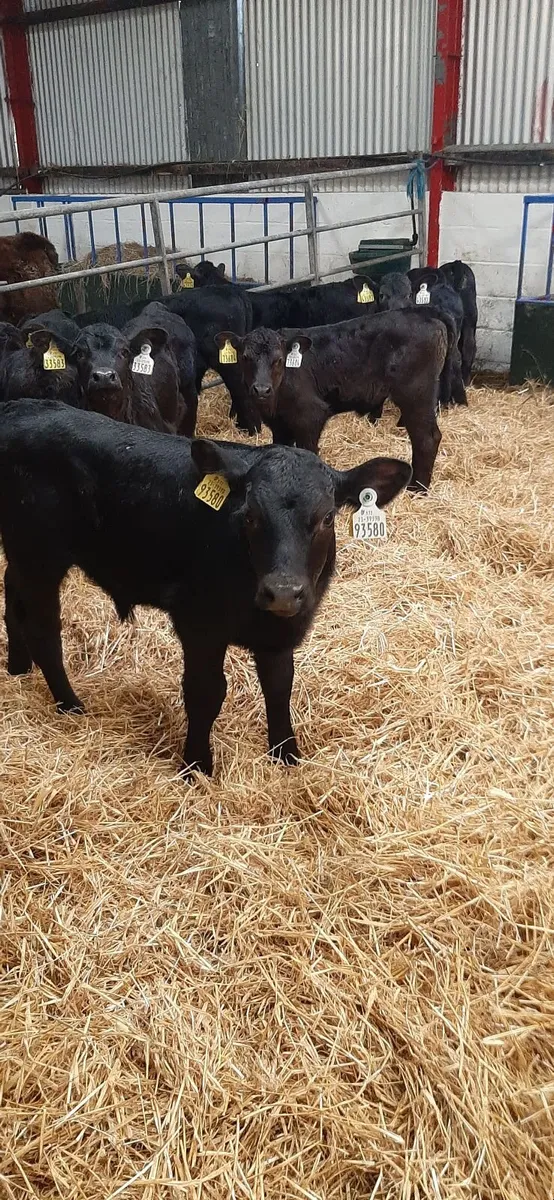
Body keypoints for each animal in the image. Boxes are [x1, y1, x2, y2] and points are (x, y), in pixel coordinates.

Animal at [0, 398, 411, 774]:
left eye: (327, 517)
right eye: (250, 515)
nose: (282, 591)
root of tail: (20, 408)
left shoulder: (283, 631)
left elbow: (280, 686)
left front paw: (286, 754)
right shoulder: (198, 623)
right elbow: (206, 691)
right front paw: (197, 764)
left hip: (22, 556)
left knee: (13, 601)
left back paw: (19, 667)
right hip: (40, 557)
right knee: (43, 630)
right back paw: (70, 704)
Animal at [216, 308, 454, 492]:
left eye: (279, 359)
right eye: (245, 357)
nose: (261, 389)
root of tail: (426, 313)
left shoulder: (311, 416)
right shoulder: (279, 425)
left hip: (416, 394)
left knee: (427, 438)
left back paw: (417, 489)